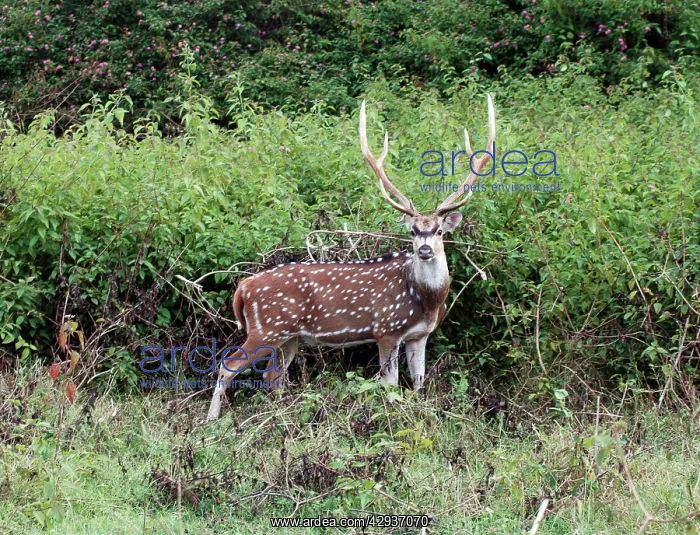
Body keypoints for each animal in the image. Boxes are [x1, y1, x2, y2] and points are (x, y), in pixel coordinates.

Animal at [207, 96, 496, 420]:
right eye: (412, 231)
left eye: (439, 231)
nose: (424, 250)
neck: (426, 300)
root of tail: (243, 289)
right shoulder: (386, 329)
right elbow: (390, 384)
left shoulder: (419, 335)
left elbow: (420, 383)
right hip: (267, 327)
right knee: (227, 366)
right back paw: (212, 420)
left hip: (288, 336)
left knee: (273, 376)